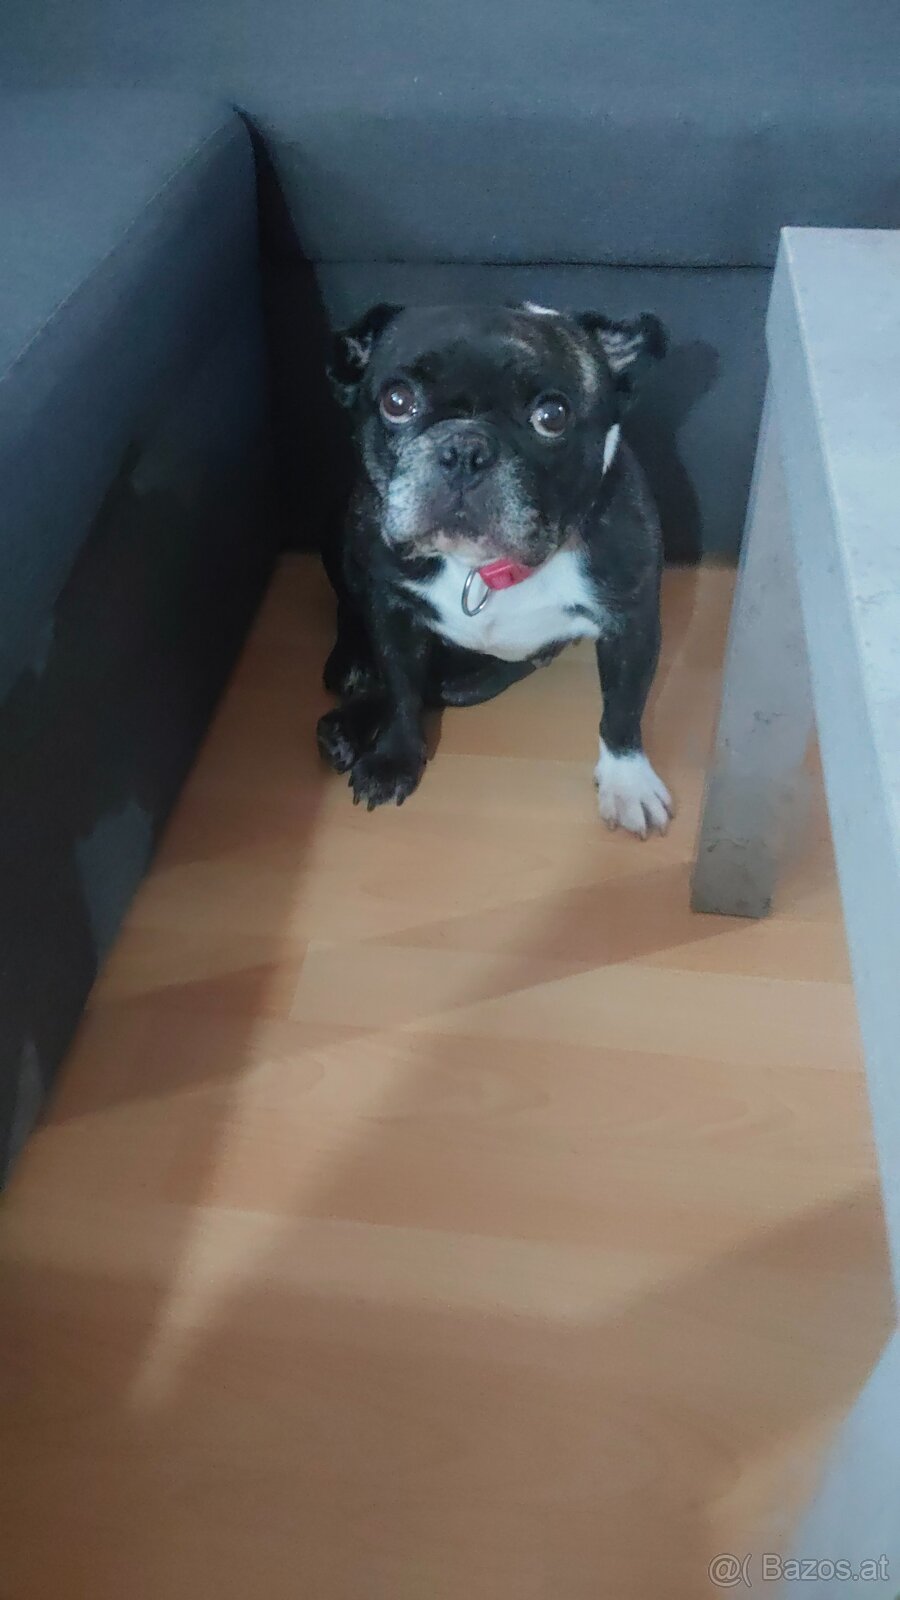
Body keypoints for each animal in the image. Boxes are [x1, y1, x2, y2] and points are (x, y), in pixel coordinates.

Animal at [317, 301, 673, 837]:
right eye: (397, 401)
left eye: (552, 416)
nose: (465, 449)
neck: (482, 568)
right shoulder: (390, 606)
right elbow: (400, 686)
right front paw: (394, 758)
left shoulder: (631, 622)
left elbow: (623, 708)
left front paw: (626, 783)